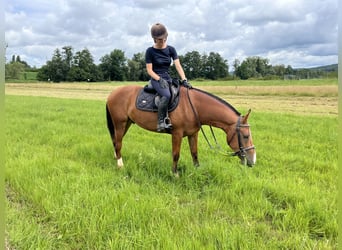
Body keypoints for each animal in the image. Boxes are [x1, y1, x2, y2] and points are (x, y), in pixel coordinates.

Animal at [105, 85, 255, 175]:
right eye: (246, 136)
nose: (253, 160)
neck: (194, 107)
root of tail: (113, 93)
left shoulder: (193, 134)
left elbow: (194, 153)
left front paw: (197, 170)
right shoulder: (177, 134)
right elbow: (176, 154)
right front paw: (175, 173)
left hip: (127, 123)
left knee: (116, 141)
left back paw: (116, 157)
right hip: (119, 123)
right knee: (118, 143)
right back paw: (120, 165)